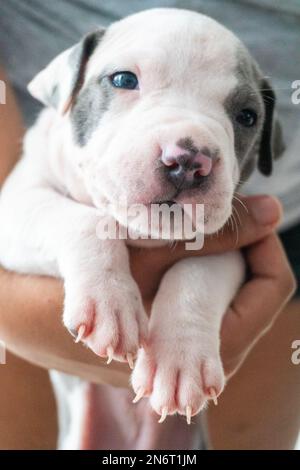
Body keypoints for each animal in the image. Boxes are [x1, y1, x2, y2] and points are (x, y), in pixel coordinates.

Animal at [0, 7, 284, 446]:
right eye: (123, 80)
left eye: (248, 116)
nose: (189, 160)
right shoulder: (17, 205)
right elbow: (83, 221)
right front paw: (110, 303)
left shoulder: (234, 246)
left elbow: (195, 273)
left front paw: (180, 360)